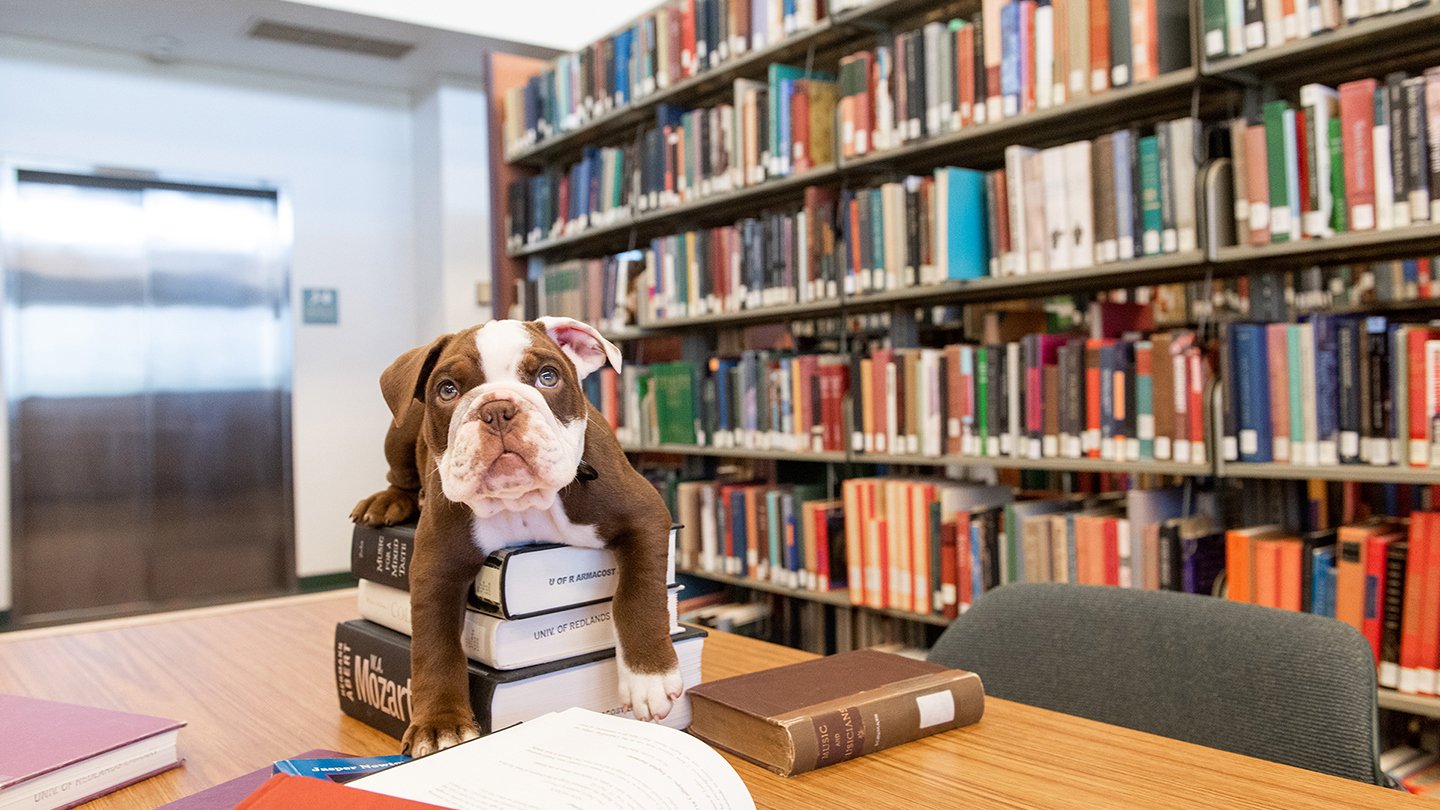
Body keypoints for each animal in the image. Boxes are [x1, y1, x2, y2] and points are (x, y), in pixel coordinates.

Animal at [352, 317, 679, 755]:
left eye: (547, 377)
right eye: (447, 390)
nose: (497, 408)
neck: (521, 502)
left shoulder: (644, 515)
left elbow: (638, 593)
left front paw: (649, 678)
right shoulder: (436, 565)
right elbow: (435, 644)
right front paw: (440, 725)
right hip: (401, 431)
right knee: (397, 477)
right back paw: (387, 502)